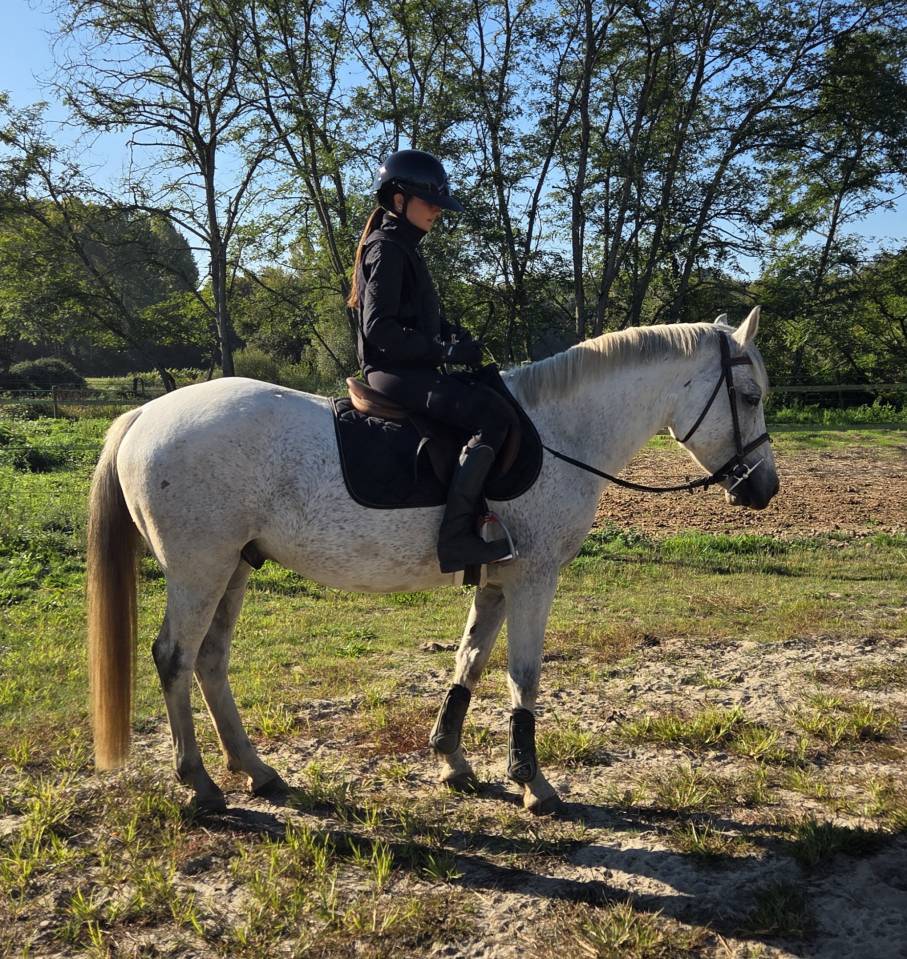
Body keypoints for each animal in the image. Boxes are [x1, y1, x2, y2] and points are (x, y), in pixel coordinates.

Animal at [87, 308, 778, 815]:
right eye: (748, 395)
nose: (764, 489)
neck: (559, 434)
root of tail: (146, 413)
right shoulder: (534, 579)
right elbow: (523, 675)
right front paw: (533, 784)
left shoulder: (498, 580)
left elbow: (469, 660)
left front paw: (453, 761)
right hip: (199, 569)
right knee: (175, 658)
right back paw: (200, 784)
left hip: (233, 567)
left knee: (209, 659)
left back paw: (257, 772)